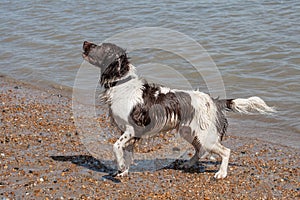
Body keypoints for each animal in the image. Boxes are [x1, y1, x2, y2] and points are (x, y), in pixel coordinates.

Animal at [81, 41, 276, 179]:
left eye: (100, 47)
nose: (84, 42)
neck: (122, 84)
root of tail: (213, 101)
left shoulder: (131, 129)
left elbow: (115, 147)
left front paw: (121, 167)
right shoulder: (128, 133)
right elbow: (125, 153)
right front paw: (123, 170)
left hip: (205, 136)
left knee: (225, 151)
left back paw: (221, 173)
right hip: (189, 132)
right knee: (200, 150)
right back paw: (188, 164)